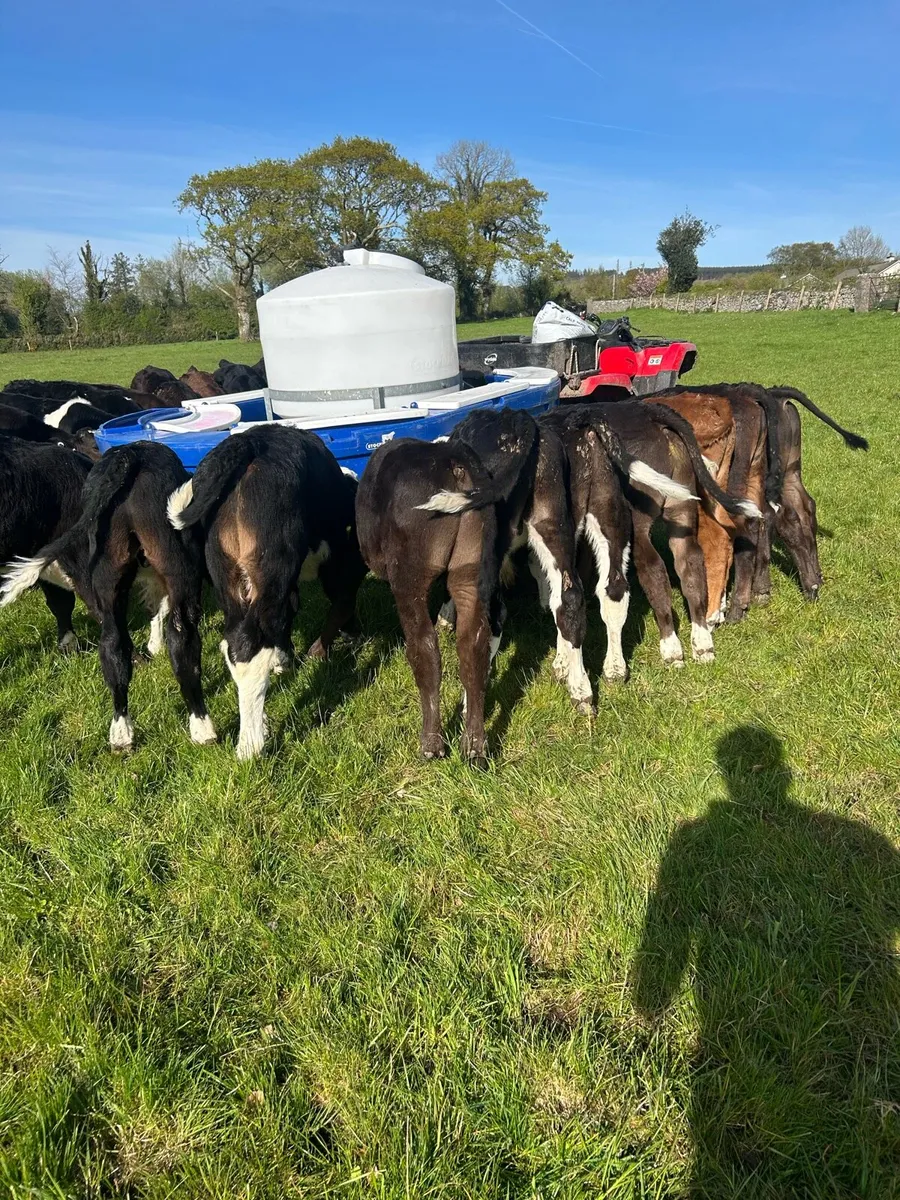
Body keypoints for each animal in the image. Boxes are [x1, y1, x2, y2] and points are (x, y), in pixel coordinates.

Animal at [167, 424, 365, 760]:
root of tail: (249, 442)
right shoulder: (337, 562)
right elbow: (341, 600)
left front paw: (283, 658)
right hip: (271, 568)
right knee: (248, 645)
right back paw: (250, 745)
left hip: (211, 575)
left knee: (193, 637)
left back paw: (203, 730)